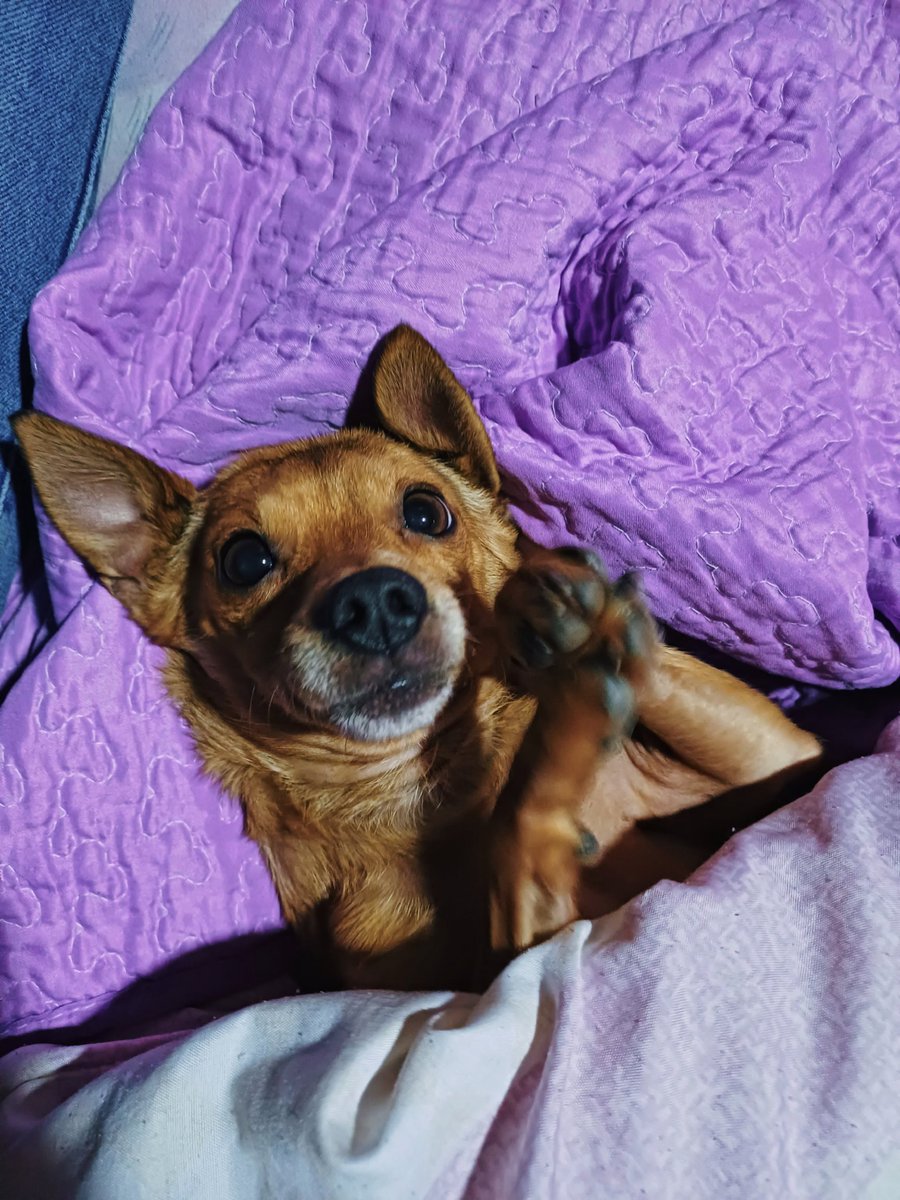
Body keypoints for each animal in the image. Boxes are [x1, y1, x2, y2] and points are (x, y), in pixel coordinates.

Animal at [14, 328, 820, 993]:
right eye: (243, 561)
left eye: (427, 511)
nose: (373, 601)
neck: (428, 789)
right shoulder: (502, 971)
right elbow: (518, 837)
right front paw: (572, 709)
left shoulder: (775, 759)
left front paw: (582, 624)